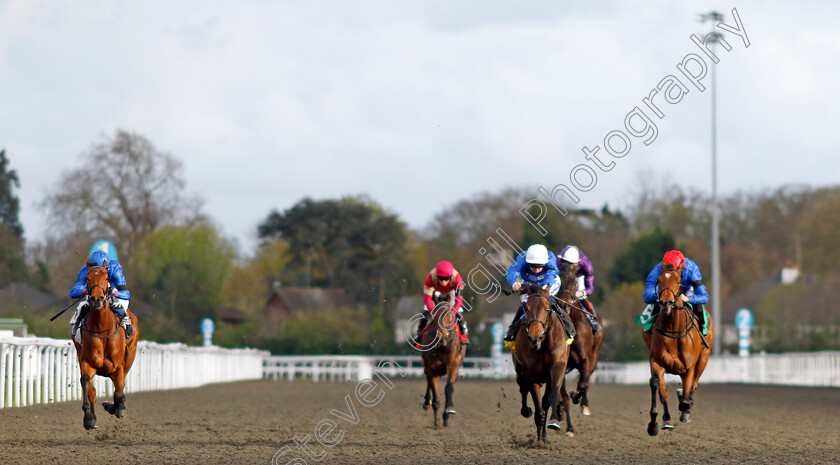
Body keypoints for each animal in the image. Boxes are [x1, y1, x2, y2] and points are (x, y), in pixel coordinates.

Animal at [72, 260, 139, 430]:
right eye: (87, 278)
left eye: (106, 277)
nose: (97, 299)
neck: (102, 328)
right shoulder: (88, 361)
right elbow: (86, 382)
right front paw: (89, 418)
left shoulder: (118, 365)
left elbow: (119, 393)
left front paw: (118, 408)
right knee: (92, 389)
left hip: (130, 355)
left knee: (120, 386)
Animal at [420, 290, 466, 428]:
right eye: (435, 318)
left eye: (449, 317)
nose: (441, 338)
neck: (441, 346)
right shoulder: (431, 366)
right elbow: (434, 389)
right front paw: (435, 407)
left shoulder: (453, 365)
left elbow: (449, 388)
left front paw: (448, 411)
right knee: (429, 381)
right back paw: (428, 403)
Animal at [508, 280, 576, 440]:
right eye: (527, 308)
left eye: (547, 309)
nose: (535, 338)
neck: (543, 345)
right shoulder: (531, 375)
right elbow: (538, 406)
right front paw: (539, 438)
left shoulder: (557, 368)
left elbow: (551, 397)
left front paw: (553, 422)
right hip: (520, 372)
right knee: (523, 389)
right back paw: (527, 411)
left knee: (545, 400)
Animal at [556, 262, 600, 418]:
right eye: (558, 280)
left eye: (575, 282)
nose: (564, 304)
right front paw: (560, 408)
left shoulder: (585, 359)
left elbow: (582, 385)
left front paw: (575, 397)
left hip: (594, 356)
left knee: (586, 382)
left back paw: (584, 404)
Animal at [644, 264, 716, 436]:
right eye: (658, 280)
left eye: (678, 281)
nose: (666, 303)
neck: (674, 330)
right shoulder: (656, 362)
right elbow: (657, 386)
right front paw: (654, 424)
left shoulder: (689, 366)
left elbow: (686, 396)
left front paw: (685, 409)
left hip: (704, 357)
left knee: (693, 385)